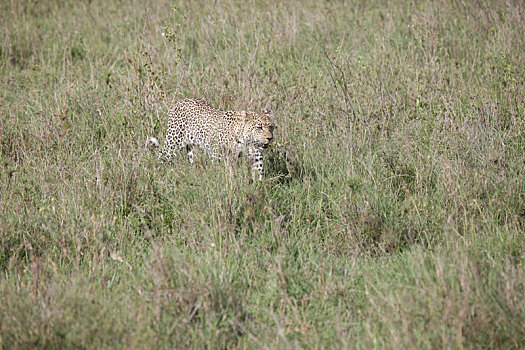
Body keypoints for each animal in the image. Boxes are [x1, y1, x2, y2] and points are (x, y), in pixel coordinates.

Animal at [145, 99, 276, 179]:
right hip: (173, 142)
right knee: (161, 156)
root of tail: (180, 101)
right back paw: (156, 173)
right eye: (259, 127)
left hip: (192, 148)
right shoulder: (217, 155)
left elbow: (258, 173)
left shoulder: (257, 158)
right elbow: (218, 171)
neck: (247, 141)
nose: (270, 138)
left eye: (271, 127)